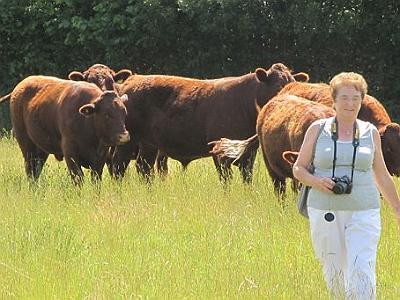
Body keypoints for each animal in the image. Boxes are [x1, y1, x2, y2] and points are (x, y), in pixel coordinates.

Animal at [0, 75, 130, 183]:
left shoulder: (100, 158)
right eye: (106, 114)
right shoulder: (70, 154)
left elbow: (96, 180)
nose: (124, 136)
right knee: (31, 172)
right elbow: (78, 179)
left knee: (36, 171)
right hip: (27, 146)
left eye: (124, 113)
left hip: (41, 149)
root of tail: (19, 87)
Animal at [112, 62, 310, 182]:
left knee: (143, 167)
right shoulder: (219, 153)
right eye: (277, 86)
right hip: (127, 141)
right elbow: (226, 179)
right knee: (118, 166)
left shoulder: (249, 154)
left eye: (293, 83)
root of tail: (132, 79)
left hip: (149, 144)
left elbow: (247, 178)